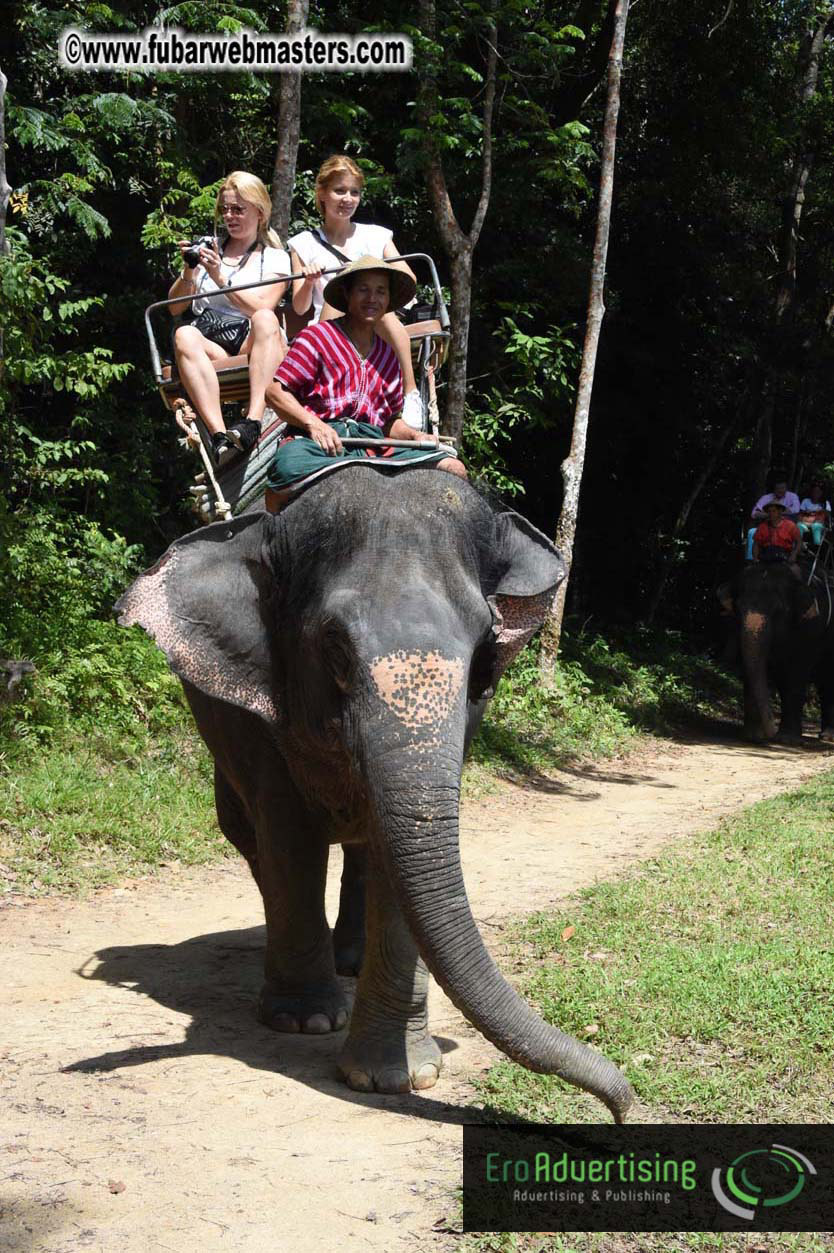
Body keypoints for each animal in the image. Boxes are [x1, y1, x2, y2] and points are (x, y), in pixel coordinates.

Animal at [117, 468, 633, 1121]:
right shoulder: (259, 703)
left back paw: (352, 962)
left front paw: (399, 1078)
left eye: (484, 649)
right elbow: (289, 834)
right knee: (253, 840)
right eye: (334, 648)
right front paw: (306, 1022)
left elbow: (399, 845)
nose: (622, 1106)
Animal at [719, 561, 834, 744]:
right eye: (739, 608)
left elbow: (796, 674)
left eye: (778, 610)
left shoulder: (812, 626)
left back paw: (827, 736)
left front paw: (786, 739)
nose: (770, 734)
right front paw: (752, 735)